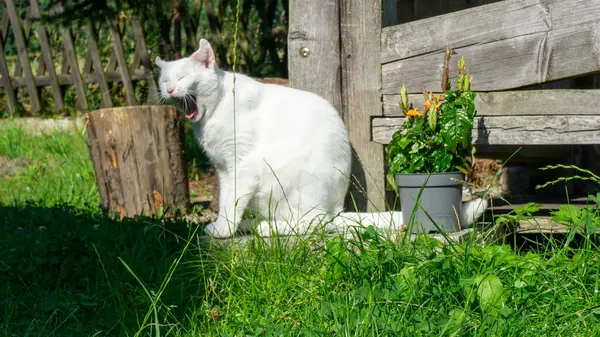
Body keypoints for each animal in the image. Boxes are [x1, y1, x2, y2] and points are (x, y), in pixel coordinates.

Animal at [155, 39, 488, 238]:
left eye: (183, 78)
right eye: (164, 80)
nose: (169, 90)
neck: (213, 112)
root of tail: (337, 209)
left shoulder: (241, 166)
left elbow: (232, 201)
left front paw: (222, 230)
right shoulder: (224, 169)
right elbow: (226, 200)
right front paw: (225, 225)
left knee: (307, 224)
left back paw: (265, 227)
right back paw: (250, 224)